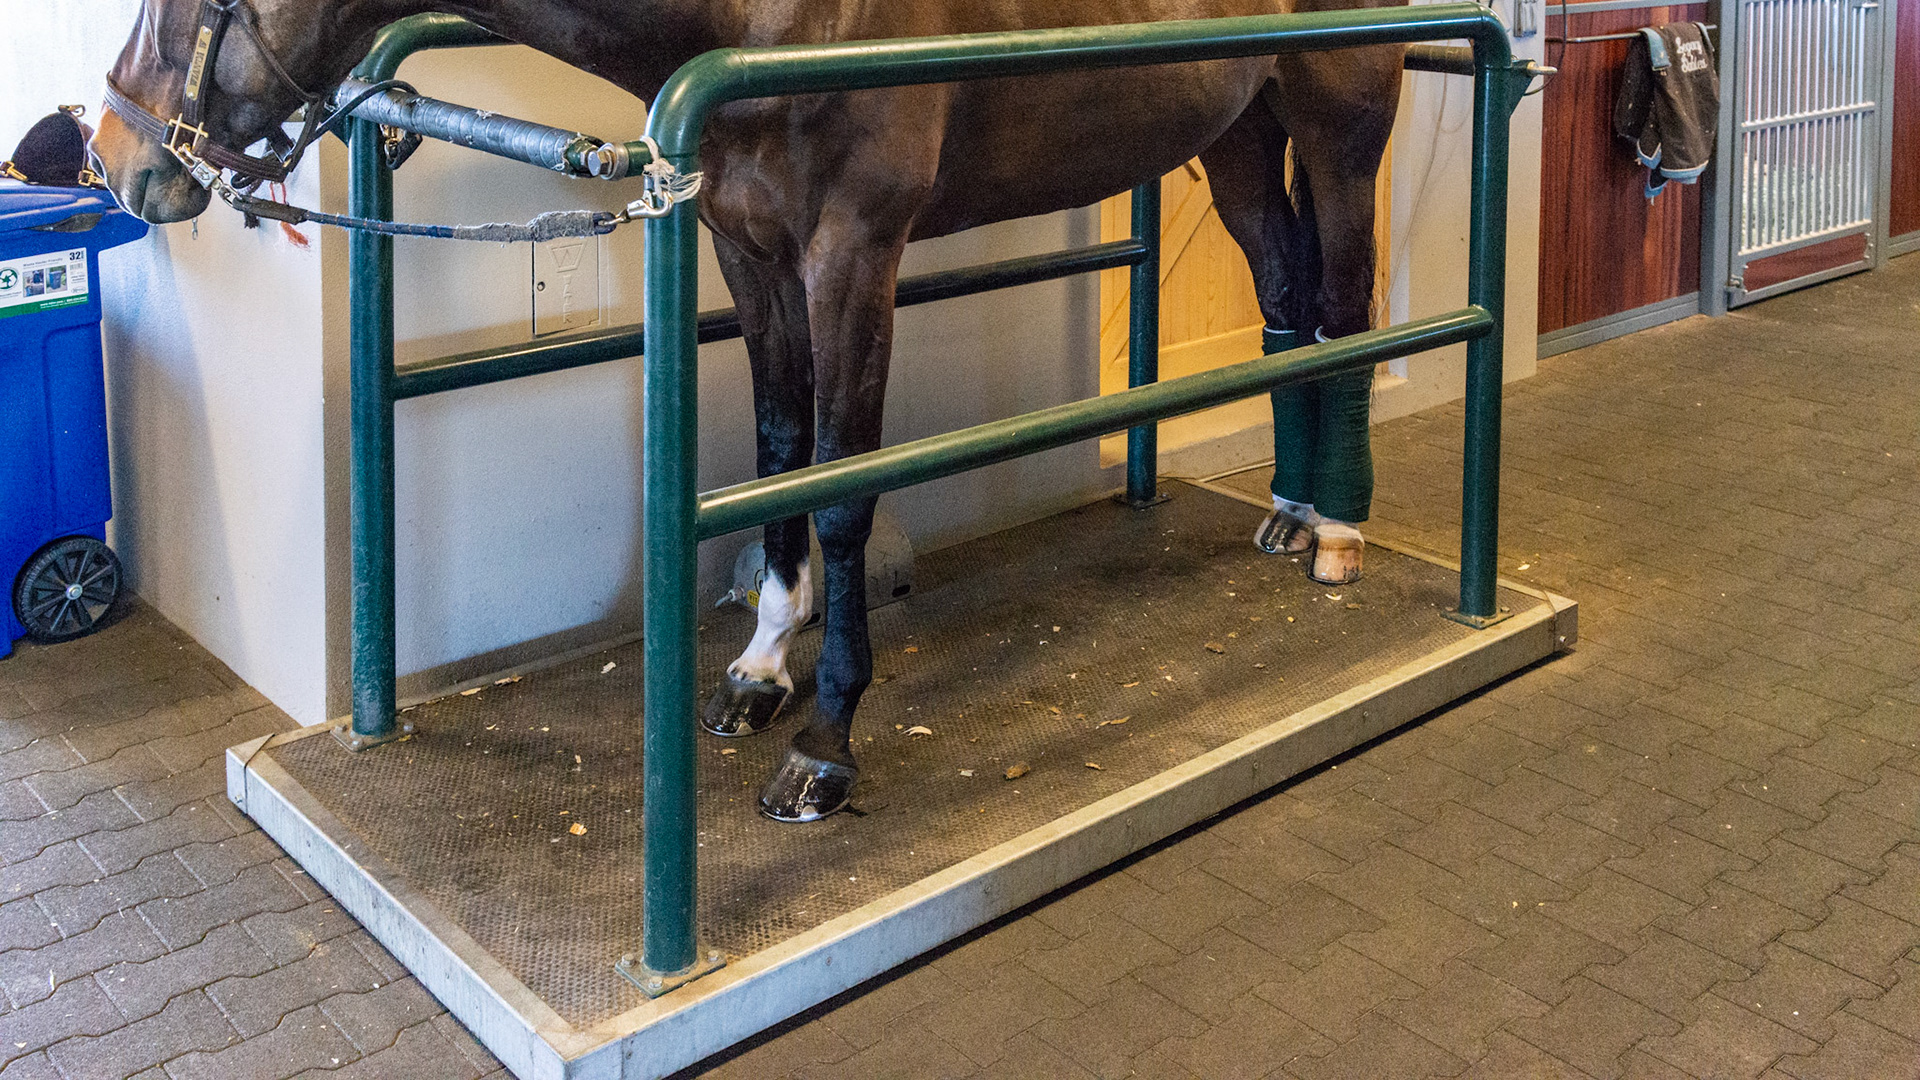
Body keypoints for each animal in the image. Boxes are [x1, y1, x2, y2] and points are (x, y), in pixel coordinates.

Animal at [92, 0, 1404, 823]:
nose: (113, 155)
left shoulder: (854, 258)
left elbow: (841, 486)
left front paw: (826, 749)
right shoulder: (749, 253)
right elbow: (780, 453)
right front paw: (764, 669)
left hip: (1340, 128)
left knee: (1347, 308)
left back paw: (1339, 534)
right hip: (1240, 134)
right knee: (1288, 299)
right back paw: (1290, 510)